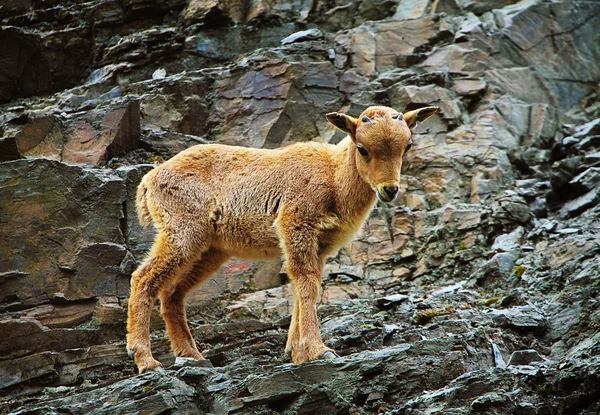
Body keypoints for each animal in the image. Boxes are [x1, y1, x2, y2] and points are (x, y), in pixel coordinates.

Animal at [127, 104, 436, 374]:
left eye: (407, 146)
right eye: (363, 148)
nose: (389, 190)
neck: (334, 177)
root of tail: (149, 180)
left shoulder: (320, 245)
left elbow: (305, 284)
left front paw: (297, 352)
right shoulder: (295, 223)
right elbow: (306, 281)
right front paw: (318, 350)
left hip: (211, 248)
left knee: (172, 292)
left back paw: (192, 355)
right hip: (182, 231)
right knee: (143, 278)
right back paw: (146, 360)